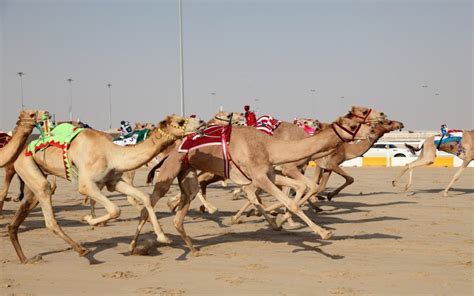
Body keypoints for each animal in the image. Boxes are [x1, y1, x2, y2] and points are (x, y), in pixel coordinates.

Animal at [6, 115, 204, 264]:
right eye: (180, 121)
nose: (201, 122)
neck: (112, 154)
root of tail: (20, 153)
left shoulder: (113, 180)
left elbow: (145, 197)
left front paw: (162, 236)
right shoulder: (87, 185)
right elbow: (115, 209)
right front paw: (89, 219)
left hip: (33, 178)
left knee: (22, 212)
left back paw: (26, 259)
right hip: (27, 167)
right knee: (49, 213)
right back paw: (83, 250)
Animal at [131, 115, 378, 254]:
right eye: (353, 123)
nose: (373, 129)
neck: (270, 146)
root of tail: (172, 150)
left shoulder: (270, 174)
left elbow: (299, 189)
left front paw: (279, 220)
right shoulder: (259, 177)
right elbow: (291, 201)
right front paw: (324, 233)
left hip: (187, 176)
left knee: (180, 213)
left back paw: (192, 249)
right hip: (170, 171)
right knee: (150, 203)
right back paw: (138, 245)